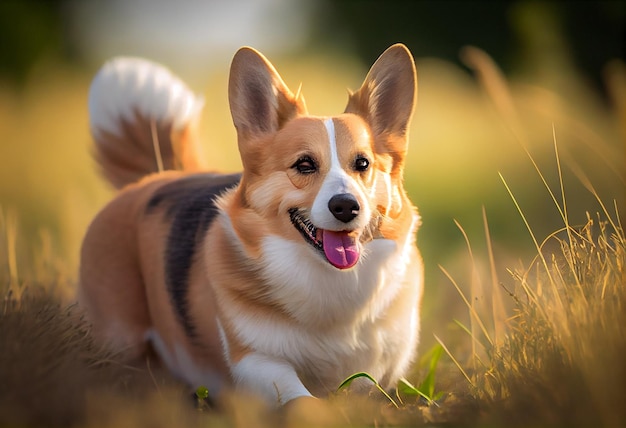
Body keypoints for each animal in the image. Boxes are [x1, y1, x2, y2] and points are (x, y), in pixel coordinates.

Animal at [77, 45, 420, 406]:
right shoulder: (257, 360)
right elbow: (302, 403)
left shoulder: (374, 374)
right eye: (304, 165)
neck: (329, 280)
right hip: (119, 337)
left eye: (363, 163)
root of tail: (155, 178)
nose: (346, 207)